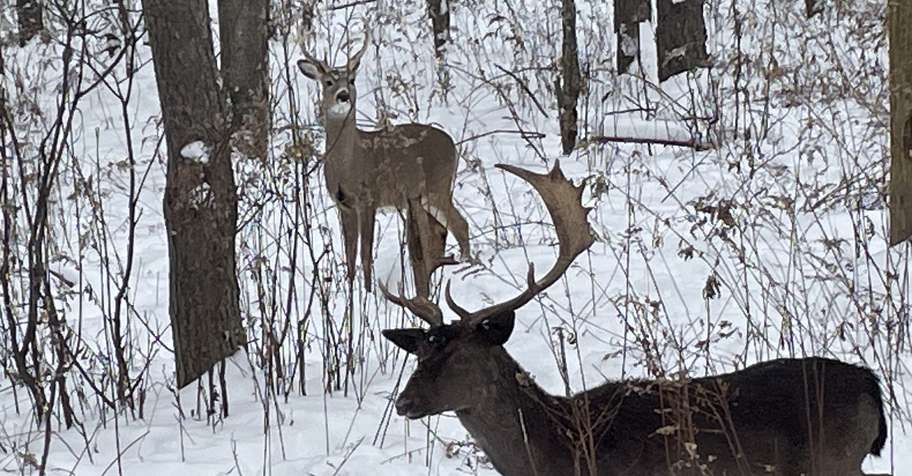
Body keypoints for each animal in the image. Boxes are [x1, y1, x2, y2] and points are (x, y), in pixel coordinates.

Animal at [297, 32, 471, 298]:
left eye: (351, 80)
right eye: (328, 82)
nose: (343, 95)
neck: (349, 165)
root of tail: (452, 144)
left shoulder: (368, 197)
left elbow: (365, 254)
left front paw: (367, 294)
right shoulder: (343, 204)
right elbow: (350, 255)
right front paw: (351, 294)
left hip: (437, 185)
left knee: (460, 225)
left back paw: (467, 268)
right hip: (428, 195)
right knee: (449, 227)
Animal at [380, 162, 889, 476]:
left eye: (460, 356)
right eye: (420, 352)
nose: (403, 402)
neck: (559, 450)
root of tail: (871, 385)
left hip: (830, 461)